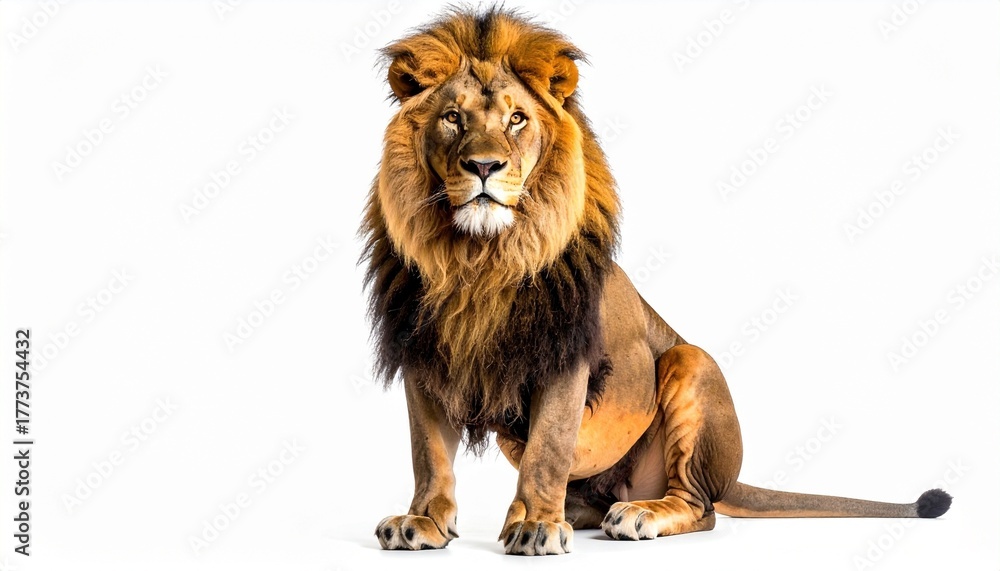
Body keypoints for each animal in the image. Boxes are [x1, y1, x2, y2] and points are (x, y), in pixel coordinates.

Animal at [360, 7, 951, 555]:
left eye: (517, 120)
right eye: (452, 118)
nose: (484, 166)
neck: (478, 258)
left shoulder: (564, 355)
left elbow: (548, 447)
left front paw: (534, 525)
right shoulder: (422, 352)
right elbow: (429, 451)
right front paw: (424, 521)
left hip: (690, 364)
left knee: (701, 506)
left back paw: (638, 514)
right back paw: (582, 512)